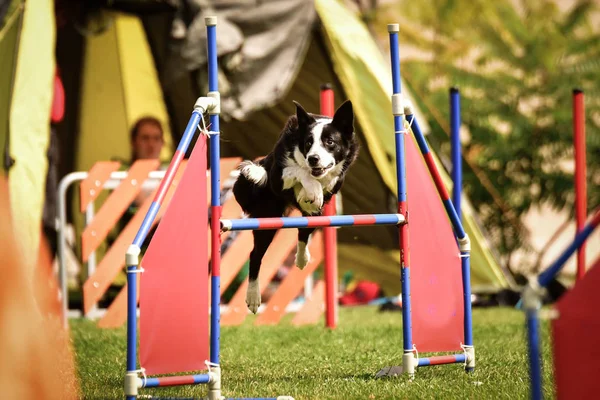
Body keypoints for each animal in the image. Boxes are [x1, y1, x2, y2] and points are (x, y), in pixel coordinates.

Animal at [232, 99, 358, 312]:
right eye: (308, 143)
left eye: (330, 142)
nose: (313, 158)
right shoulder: (277, 178)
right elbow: (298, 171)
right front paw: (312, 188)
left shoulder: (329, 191)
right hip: (267, 219)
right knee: (255, 255)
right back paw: (253, 297)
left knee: (303, 231)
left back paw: (302, 258)